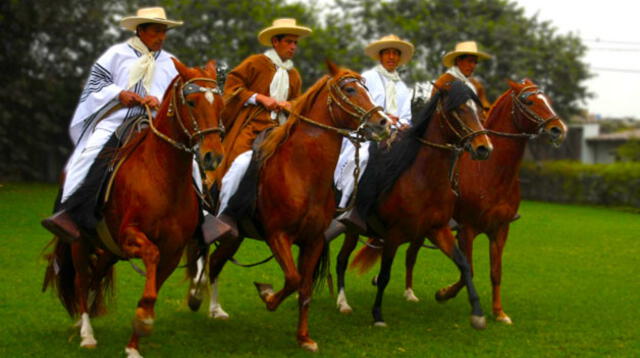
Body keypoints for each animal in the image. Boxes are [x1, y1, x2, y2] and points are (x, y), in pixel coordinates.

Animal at [43, 58, 225, 358]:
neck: (162, 177)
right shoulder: (131, 235)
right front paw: (143, 320)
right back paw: (86, 333)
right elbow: (150, 256)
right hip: (80, 242)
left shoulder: (173, 250)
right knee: (82, 280)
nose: (213, 157)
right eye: (191, 102)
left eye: (219, 102)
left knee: (95, 276)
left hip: (108, 249)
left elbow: (153, 288)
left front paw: (134, 342)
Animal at [186, 60, 390, 350]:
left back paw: (215, 309)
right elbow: (292, 279)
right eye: (350, 89)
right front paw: (268, 296)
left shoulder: (313, 240)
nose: (382, 122)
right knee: (201, 256)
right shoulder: (277, 236)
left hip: (234, 235)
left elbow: (303, 287)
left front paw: (304, 337)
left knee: (215, 261)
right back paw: (196, 295)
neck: (302, 172)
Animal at [336, 80, 496, 330]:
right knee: (341, 260)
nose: (484, 148)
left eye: (478, 111)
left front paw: (477, 313)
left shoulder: (437, 229)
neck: (425, 179)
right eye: (458, 110)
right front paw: (378, 314)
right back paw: (342, 303)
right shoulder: (393, 234)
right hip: (351, 229)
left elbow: (463, 264)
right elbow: (385, 275)